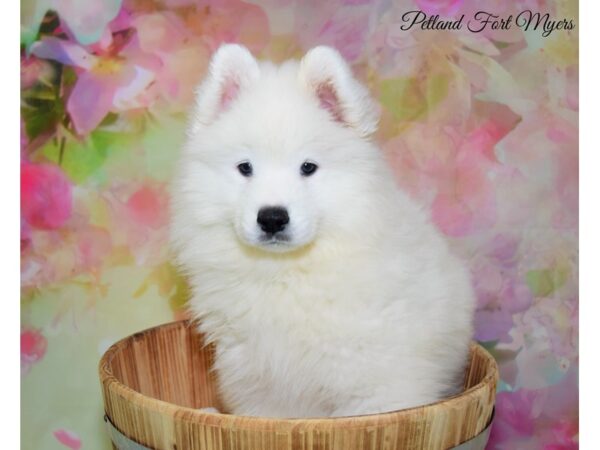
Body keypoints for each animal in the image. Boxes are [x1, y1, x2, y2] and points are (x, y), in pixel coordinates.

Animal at [171, 44, 476, 416]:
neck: (286, 272)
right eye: (245, 167)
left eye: (308, 167)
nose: (272, 218)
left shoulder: (377, 386)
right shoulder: (262, 383)